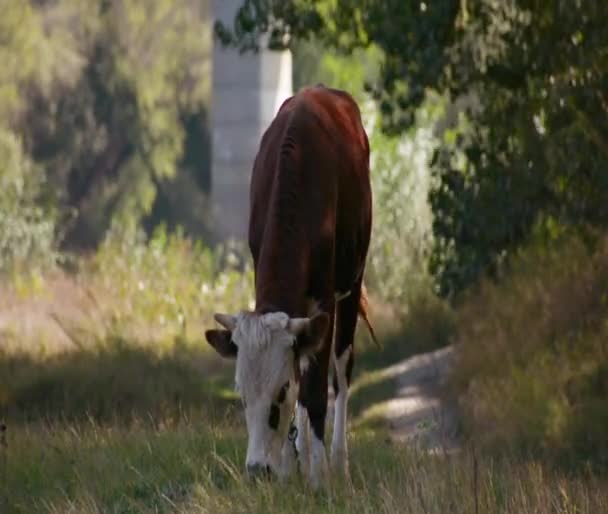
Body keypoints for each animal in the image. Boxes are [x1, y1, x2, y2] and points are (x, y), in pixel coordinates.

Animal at [207, 84, 372, 484]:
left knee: (340, 371)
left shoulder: (325, 300)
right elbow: (303, 384)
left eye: (279, 392)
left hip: (353, 282)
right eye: (241, 395)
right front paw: (286, 467)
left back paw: (338, 461)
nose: (257, 470)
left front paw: (318, 475)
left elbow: (313, 393)